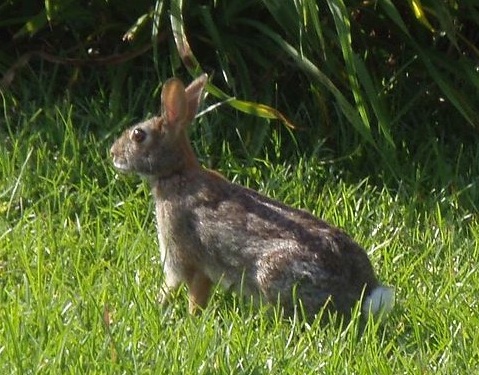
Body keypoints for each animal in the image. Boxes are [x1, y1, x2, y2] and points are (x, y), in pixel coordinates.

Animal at [110, 74, 396, 324]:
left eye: (138, 135)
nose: (113, 153)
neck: (176, 173)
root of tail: (364, 293)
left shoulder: (182, 257)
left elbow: (178, 288)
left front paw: (170, 312)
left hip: (275, 276)